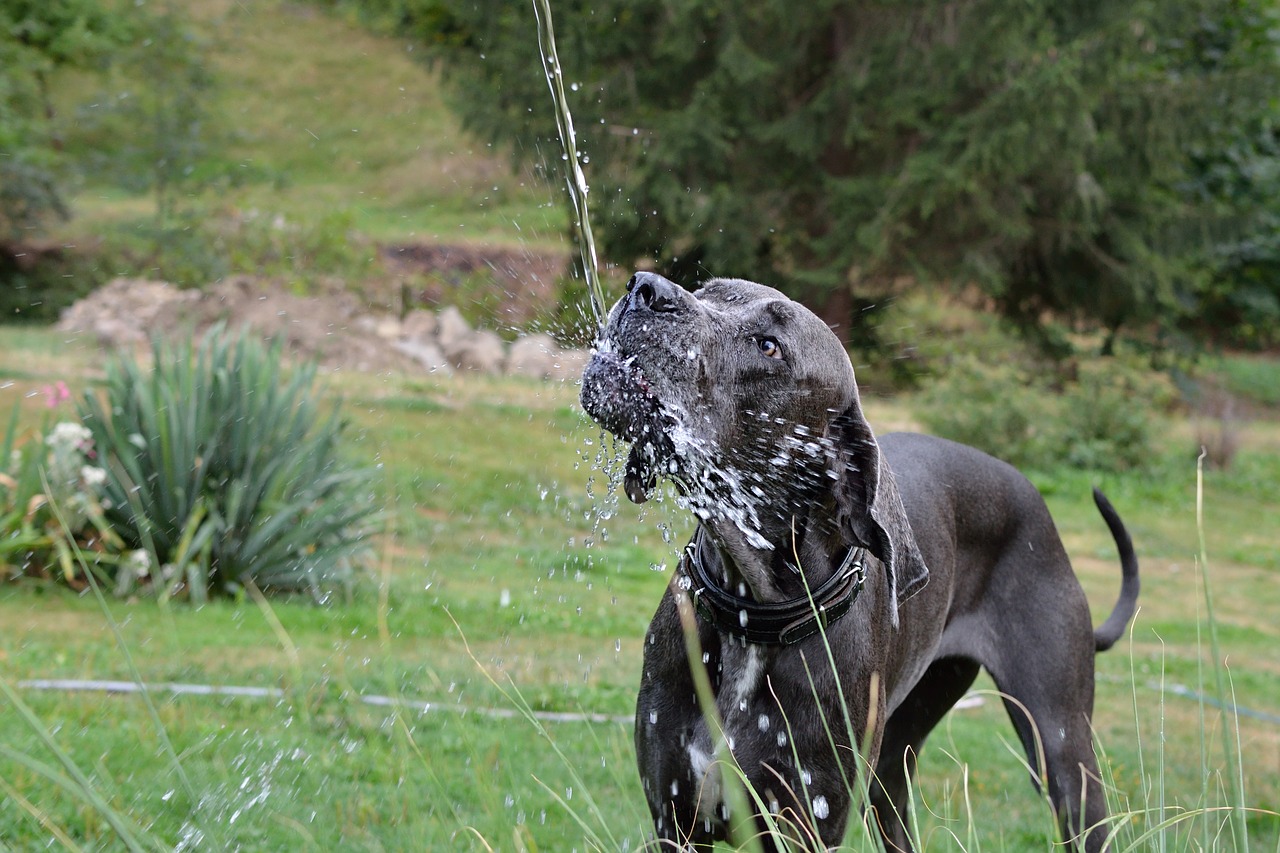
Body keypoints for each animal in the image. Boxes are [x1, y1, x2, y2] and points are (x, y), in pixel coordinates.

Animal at [581, 274, 1141, 850]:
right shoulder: (673, 816)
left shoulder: (807, 820)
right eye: (708, 288)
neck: (753, 612)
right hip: (896, 761)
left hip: (1063, 752)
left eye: (768, 346)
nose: (645, 288)